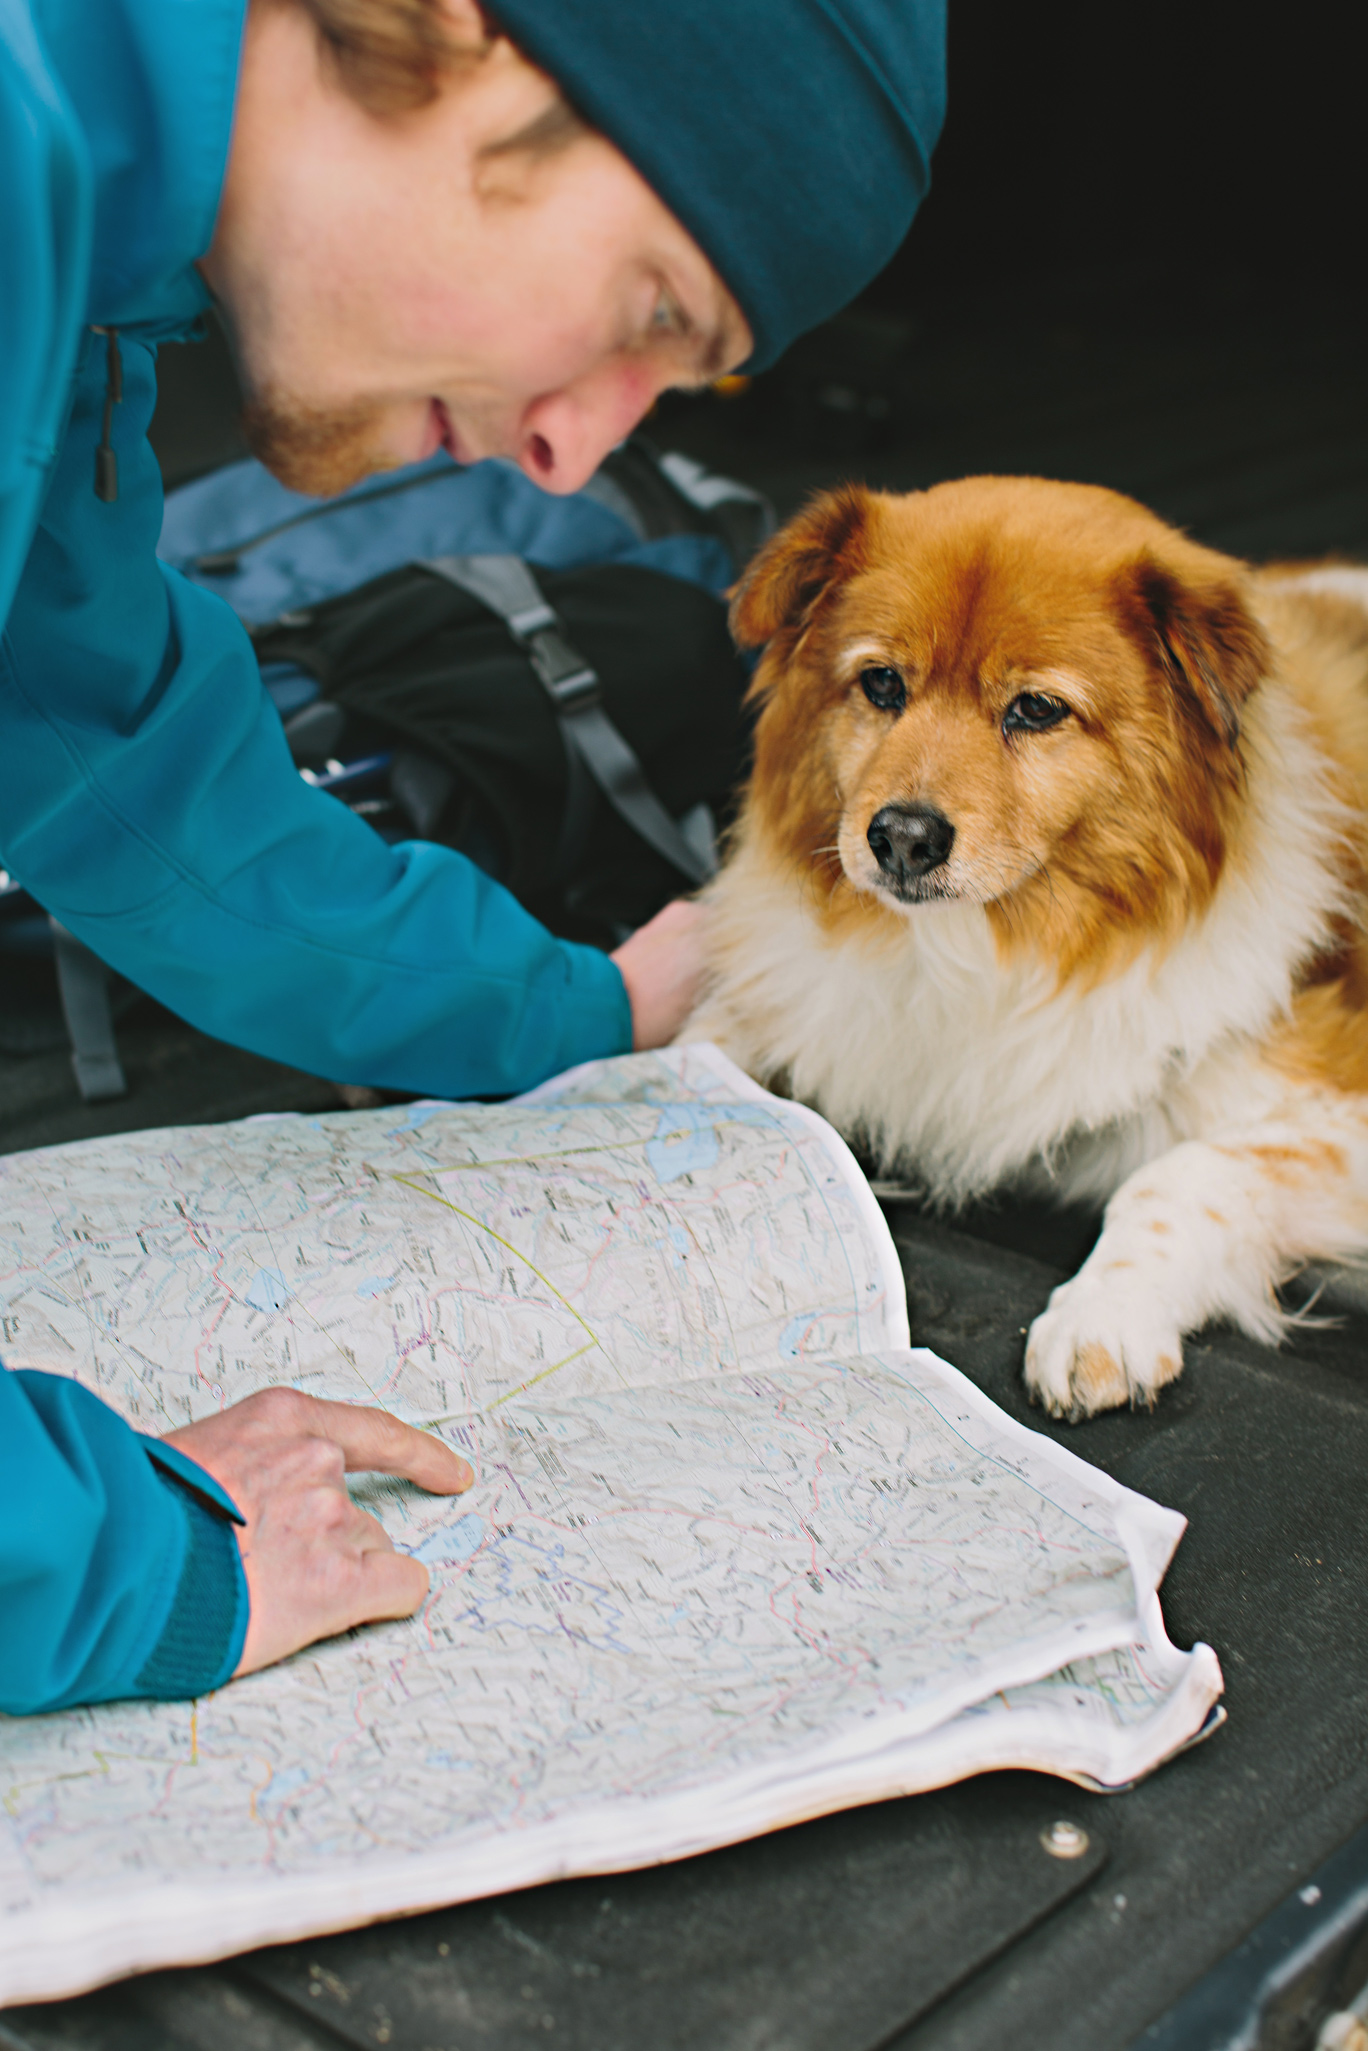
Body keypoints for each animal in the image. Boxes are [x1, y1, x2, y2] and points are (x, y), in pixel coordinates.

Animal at [689, 471, 1368, 1419]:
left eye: (1038, 709)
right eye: (881, 684)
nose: (901, 838)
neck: (989, 952)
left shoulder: (1330, 1098)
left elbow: (1184, 1171)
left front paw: (1103, 1312)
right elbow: (695, 1053)